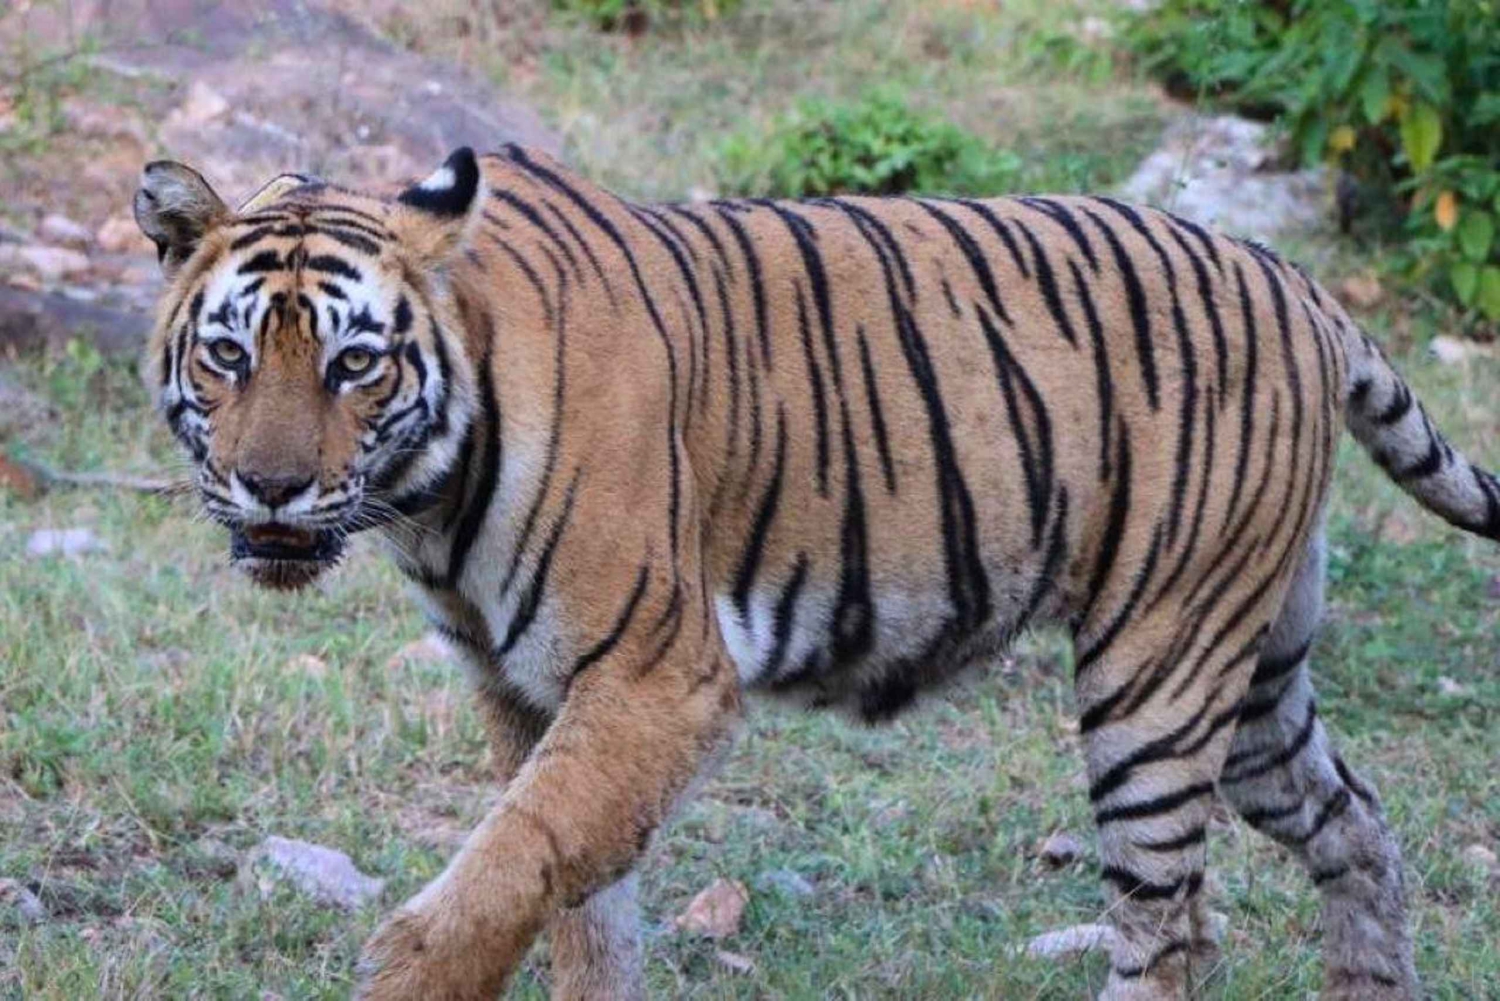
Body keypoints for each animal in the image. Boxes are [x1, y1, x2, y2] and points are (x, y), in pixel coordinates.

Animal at [132, 144, 1499, 1000]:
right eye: (230, 355)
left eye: (355, 364)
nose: (270, 487)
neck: (428, 495)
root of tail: (1299, 284)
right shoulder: (525, 690)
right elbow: (577, 900)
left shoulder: (658, 676)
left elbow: (512, 865)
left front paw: (406, 974)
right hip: (1256, 672)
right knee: (1356, 825)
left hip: (1158, 676)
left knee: (1170, 925)